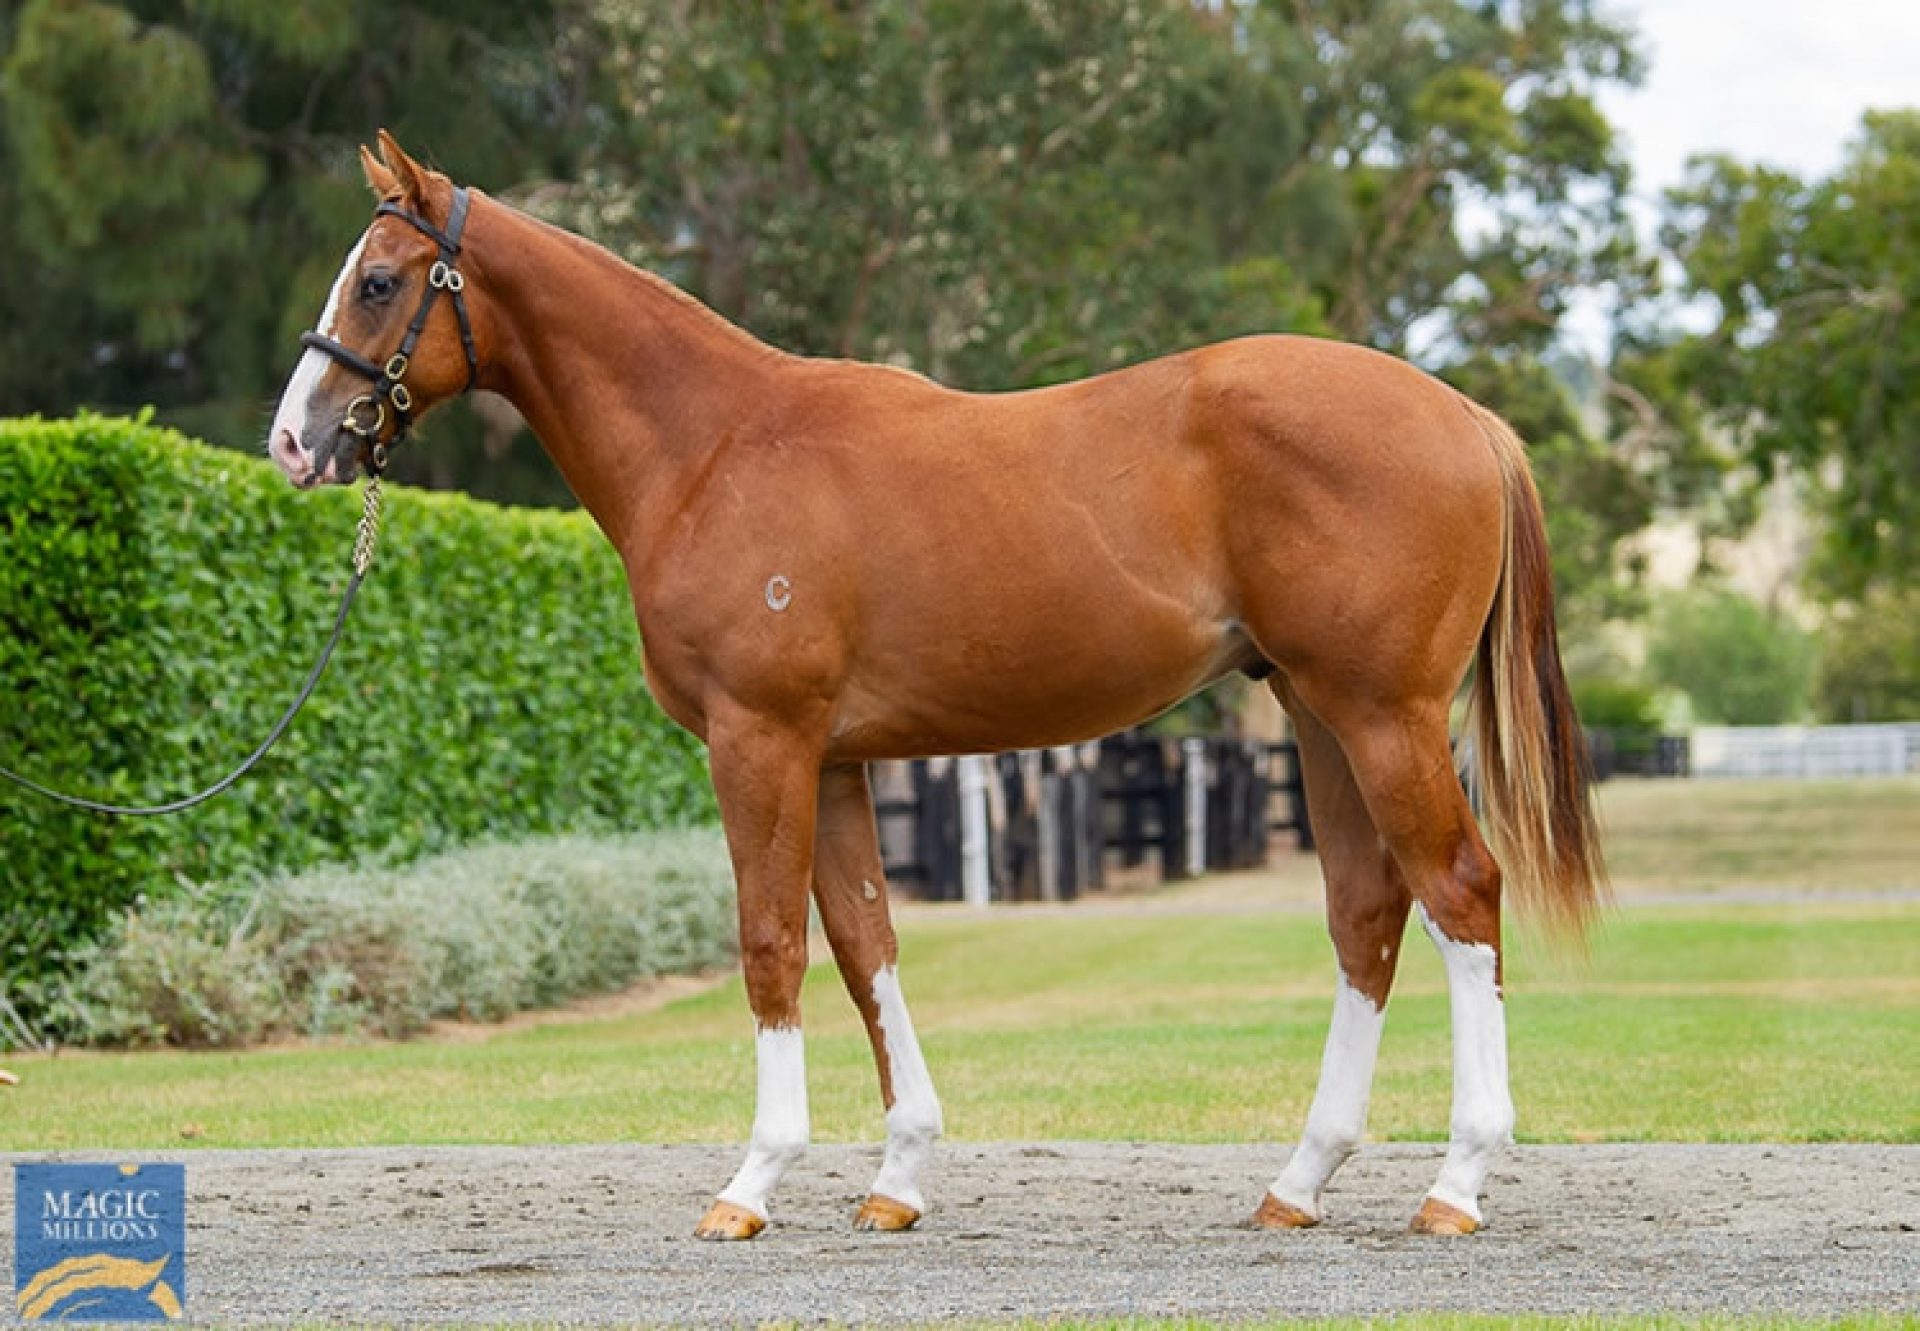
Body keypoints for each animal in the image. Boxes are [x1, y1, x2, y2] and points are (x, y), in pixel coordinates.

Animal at [266, 135, 1589, 1236]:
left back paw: (1457, 1181)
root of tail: (1466, 416)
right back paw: (1298, 1182)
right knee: (1367, 912)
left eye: (378, 281)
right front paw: (898, 1175)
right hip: (1318, 713)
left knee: (1460, 891)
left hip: (1384, 717)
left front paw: (752, 1181)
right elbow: (865, 943)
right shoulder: (836, 756)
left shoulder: (758, 739)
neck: (714, 446)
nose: (294, 440)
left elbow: (769, 943)